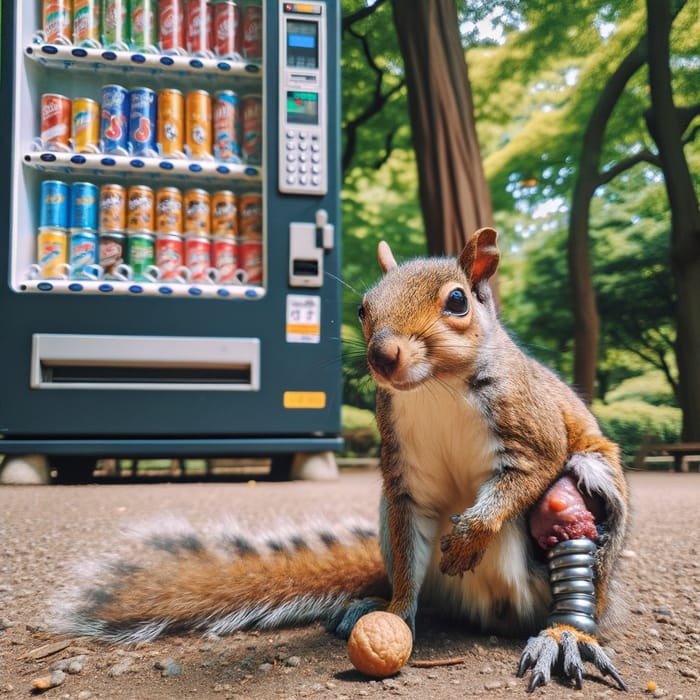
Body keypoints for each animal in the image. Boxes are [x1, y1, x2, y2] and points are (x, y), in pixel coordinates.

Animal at [54, 227, 632, 692]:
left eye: (457, 301)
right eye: (362, 307)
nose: (382, 355)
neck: (437, 388)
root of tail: (490, 613)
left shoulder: (532, 427)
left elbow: (531, 469)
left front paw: (470, 535)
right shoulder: (403, 480)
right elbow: (411, 549)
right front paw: (397, 613)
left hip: (588, 497)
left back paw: (564, 633)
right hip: (389, 523)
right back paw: (376, 604)